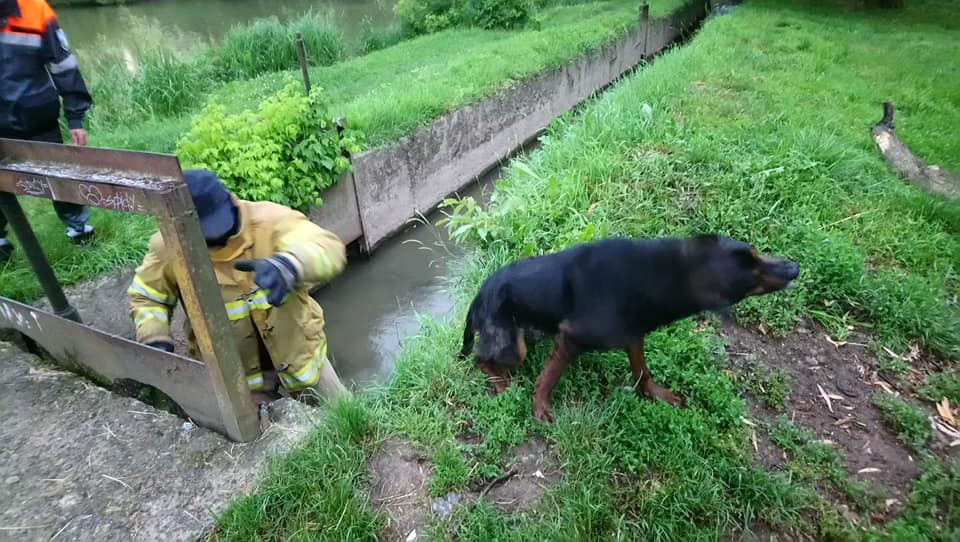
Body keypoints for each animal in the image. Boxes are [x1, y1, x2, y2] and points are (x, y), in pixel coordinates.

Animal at [462, 235, 800, 424]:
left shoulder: (633, 335)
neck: (659, 275)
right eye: (751, 275)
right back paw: (500, 383)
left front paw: (655, 395)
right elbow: (548, 378)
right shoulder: (570, 338)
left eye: (756, 253)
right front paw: (540, 407)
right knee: (479, 359)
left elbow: (642, 372)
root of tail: (478, 296)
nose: (795, 268)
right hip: (513, 346)